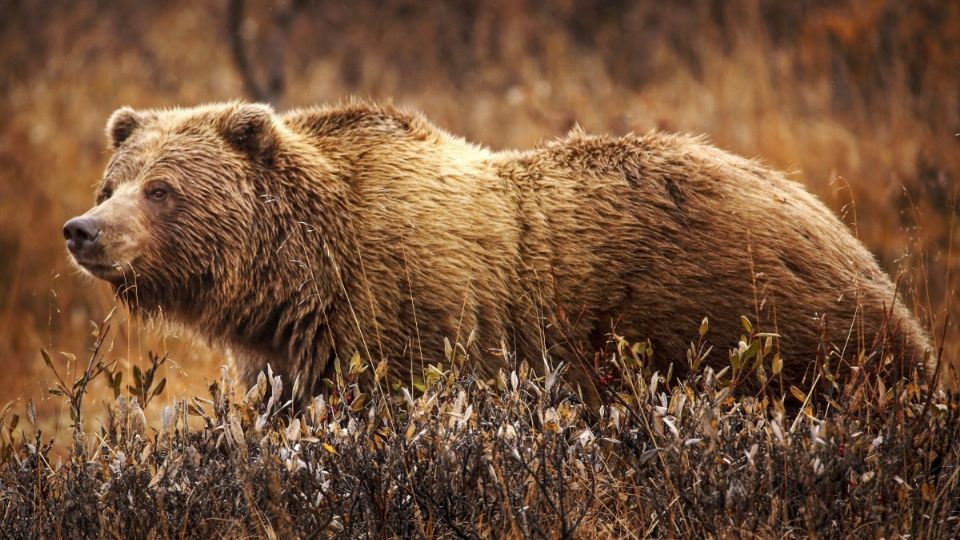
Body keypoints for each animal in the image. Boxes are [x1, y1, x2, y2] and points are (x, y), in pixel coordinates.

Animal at [65, 101, 936, 402]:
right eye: (113, 180)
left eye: (162, 189)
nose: (83, 229)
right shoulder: (294, 353)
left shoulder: (408, 319)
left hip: (763, 327)